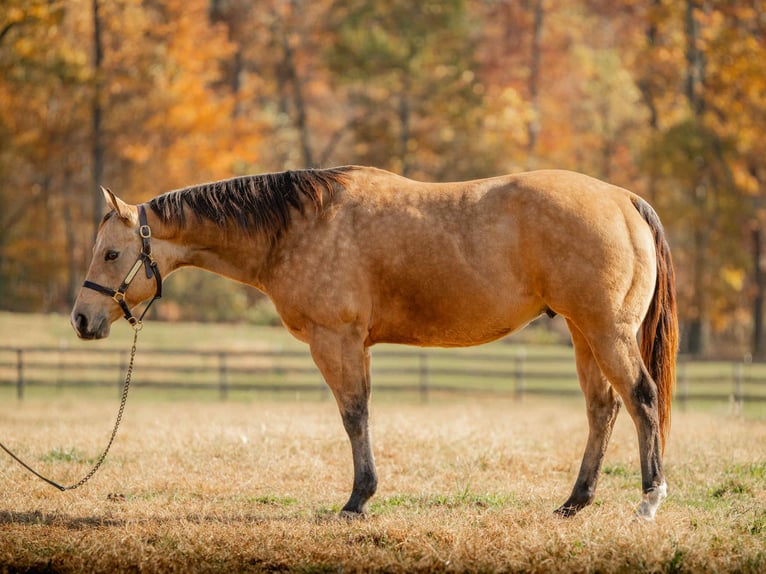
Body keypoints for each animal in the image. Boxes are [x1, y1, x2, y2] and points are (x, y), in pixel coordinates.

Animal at [71, 166, 678, 520]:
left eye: (111, 253)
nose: (81, 319)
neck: (298, 226)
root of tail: (624, 199)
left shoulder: (334, 340)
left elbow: (353, 416)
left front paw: (357, 499)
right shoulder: (355, 345)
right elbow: (361, 414)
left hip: (605, 331)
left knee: (640, 400)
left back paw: (649, 499)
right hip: (583, 333)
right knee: (602, 410)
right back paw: (575, 503)